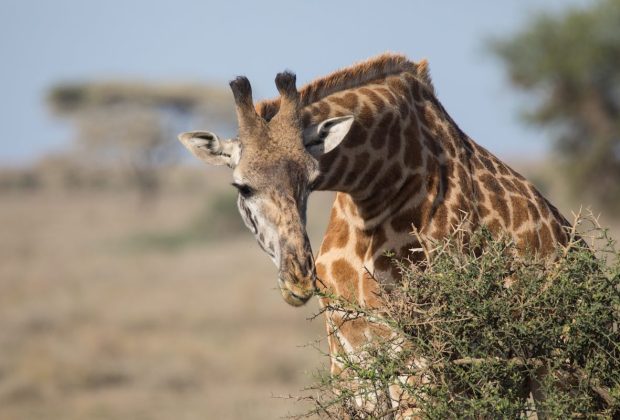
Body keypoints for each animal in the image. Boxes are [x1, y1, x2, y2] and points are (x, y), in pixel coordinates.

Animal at [177, 53, 568, 416]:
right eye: (242, 187)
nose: (299, 279)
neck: (374, 191)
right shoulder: (349, 355)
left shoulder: (419, 359)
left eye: (311, 178)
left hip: (553, 371)